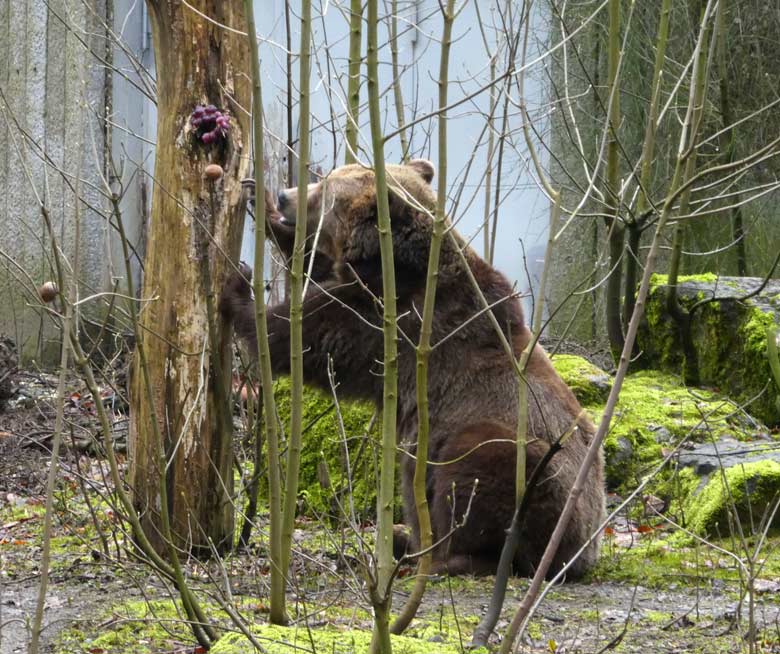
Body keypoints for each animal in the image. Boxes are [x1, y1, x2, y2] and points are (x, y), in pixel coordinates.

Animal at [222, 160, 608, 580]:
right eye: (327, 177)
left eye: (325, 192)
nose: (284, 196)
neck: (393, 263)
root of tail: (583, 550)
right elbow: (314, 268)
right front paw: (256, 198)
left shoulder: (394, 320)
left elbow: (303, 336)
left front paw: (239, 284)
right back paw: (403, 539)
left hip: (526, 467)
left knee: (477, 470)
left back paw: (442, 555)